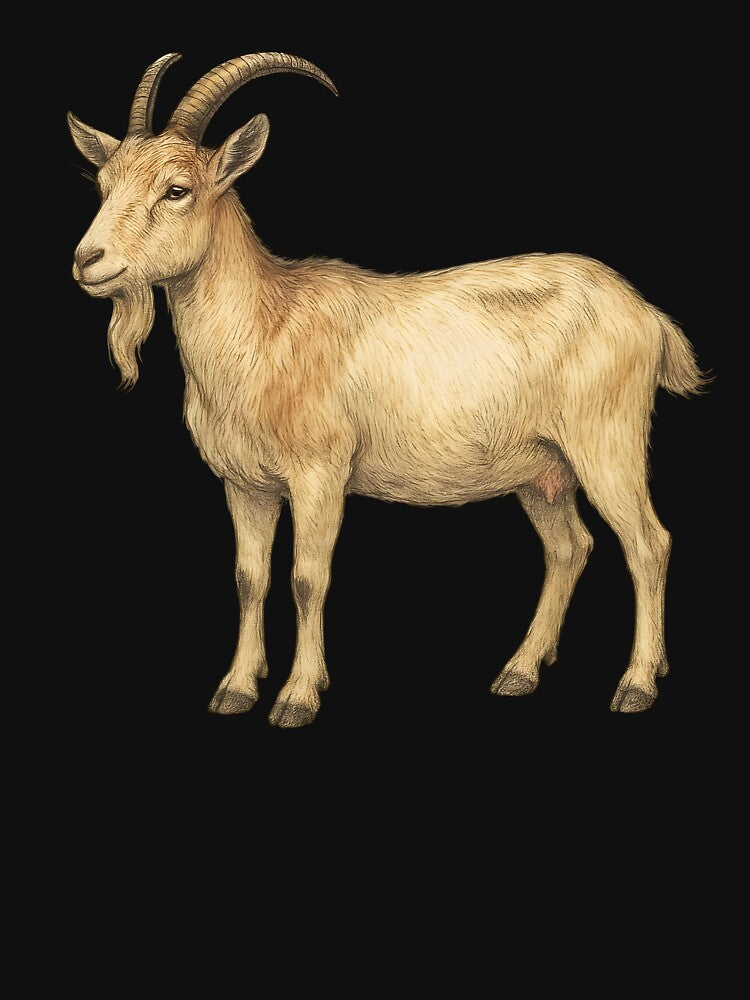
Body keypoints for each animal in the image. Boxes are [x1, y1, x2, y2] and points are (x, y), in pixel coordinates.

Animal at [69, 52, 703, 726]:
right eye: (104, 185)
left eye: (176, 190)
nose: (88, 260)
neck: (267, 326)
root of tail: (648, 315)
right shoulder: (245, 484)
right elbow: (249, 578)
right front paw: (235, 689)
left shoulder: (319, 476)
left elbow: (306, 578)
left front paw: (297, 697)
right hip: (542, 470)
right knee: (569, 548)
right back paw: (519, 672)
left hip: (607, 444)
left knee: (648, 543)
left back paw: (636, 684)